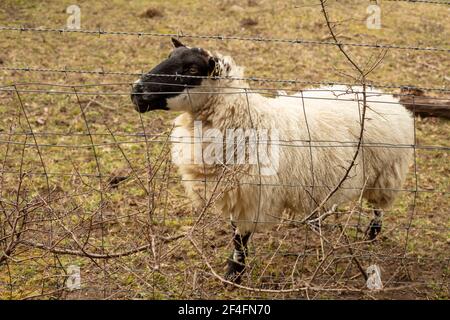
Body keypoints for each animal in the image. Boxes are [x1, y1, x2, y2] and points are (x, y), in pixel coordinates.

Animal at [129, 37, 412, 282]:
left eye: (191, 68)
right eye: (169, 57)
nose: (136, 92)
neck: (247, 119)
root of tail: (385, 97)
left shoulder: (251, 193)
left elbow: (240, 238)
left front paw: (234, 274)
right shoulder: (234, 189)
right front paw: (235, 271)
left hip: (385, 173)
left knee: (378, 207)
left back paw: (372, 234)